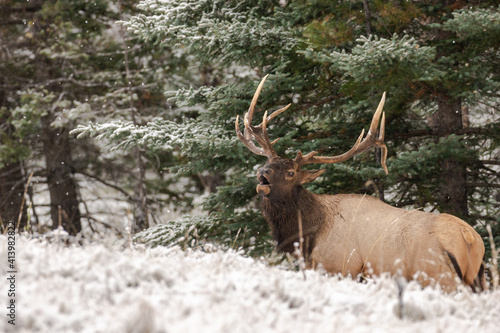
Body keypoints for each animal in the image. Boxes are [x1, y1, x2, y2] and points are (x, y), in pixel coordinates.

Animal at [236, 75, 486, 290]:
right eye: (268, 161)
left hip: (437, 274)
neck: (308, 235)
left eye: (291, 172)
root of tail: (470, 238)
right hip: (477, 278)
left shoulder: (342, 267)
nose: (263, 174)